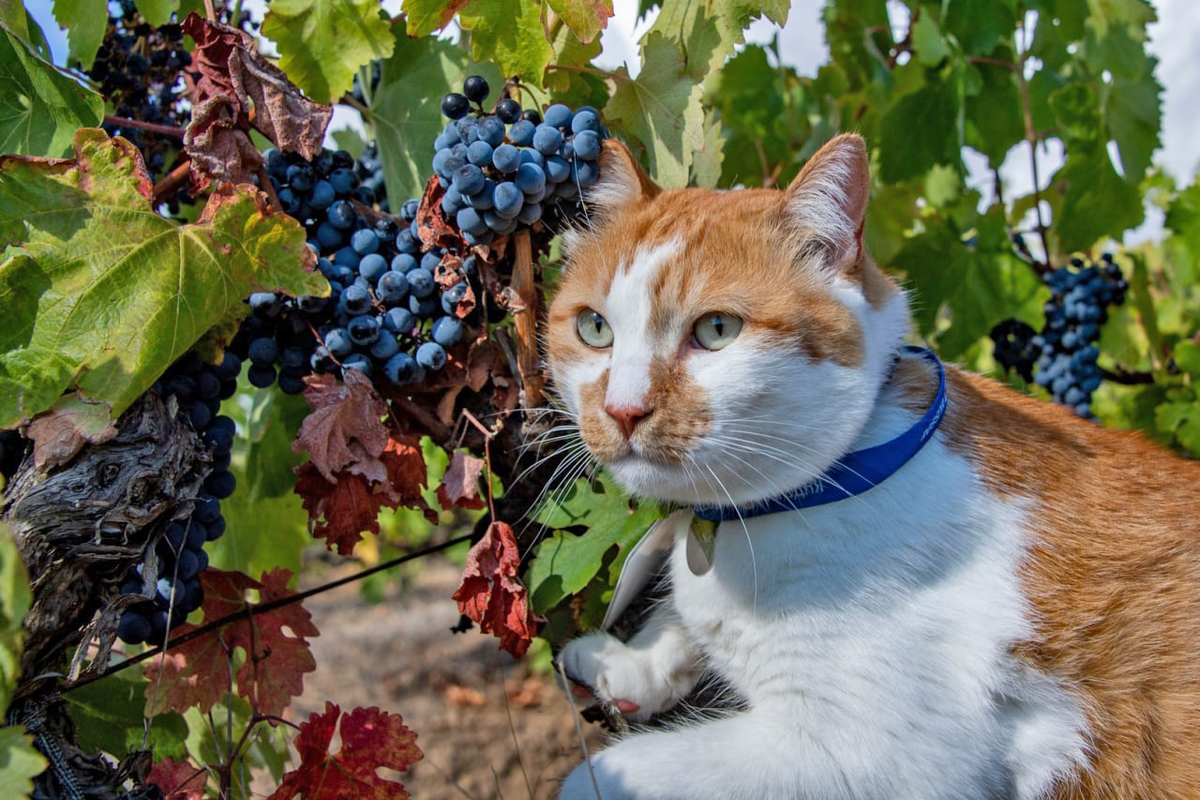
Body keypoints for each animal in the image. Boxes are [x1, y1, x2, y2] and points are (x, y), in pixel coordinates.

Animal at [542, 134, 1200, 796]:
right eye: (594, 327)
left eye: (717, 329)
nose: (623, 409)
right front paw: (634, 661)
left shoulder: (861, 757)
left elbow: (601, 775)